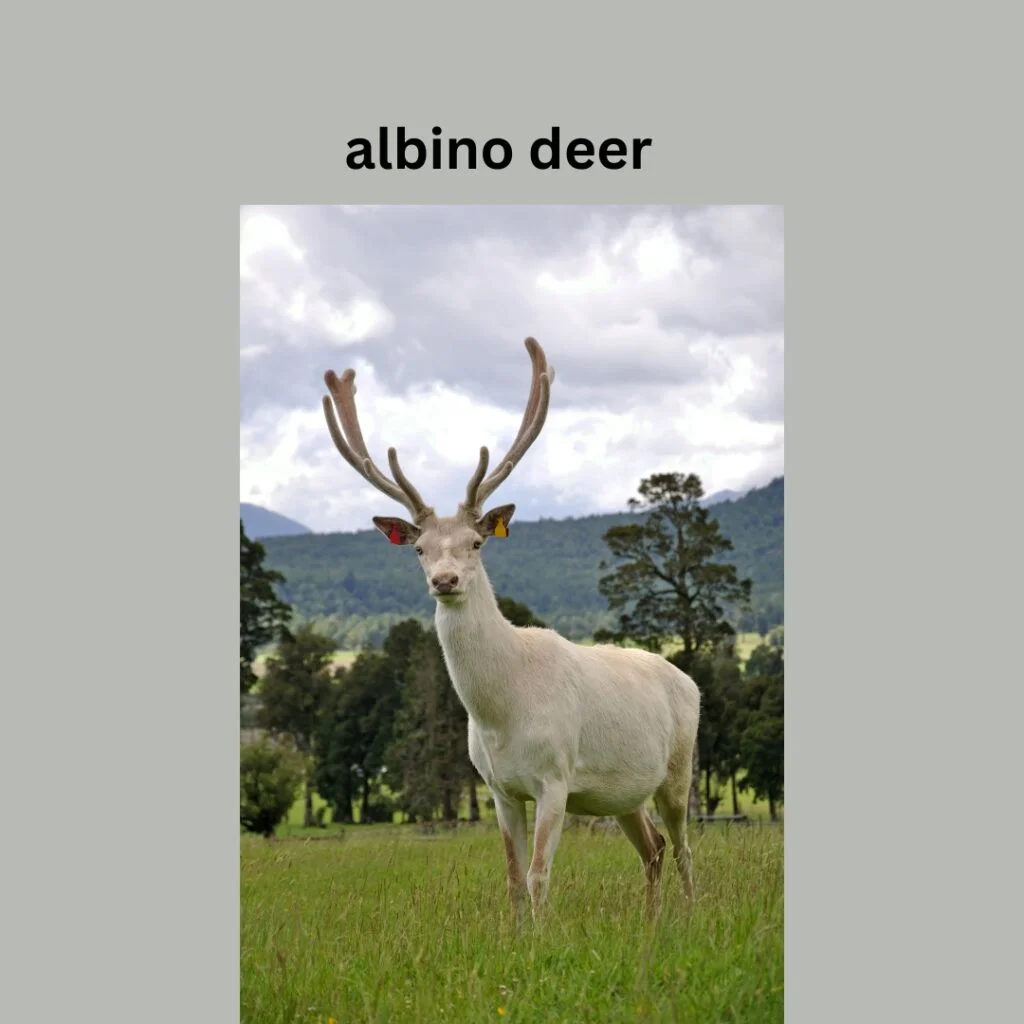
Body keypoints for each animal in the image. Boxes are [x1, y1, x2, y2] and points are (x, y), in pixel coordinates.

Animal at [321, 337, 701, 922]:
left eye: (477, 543)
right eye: (419, 549)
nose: (446, 579)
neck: (502, 714)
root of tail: (689, 680)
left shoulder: (556, 777)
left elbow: (539, 875)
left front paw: (543, 939)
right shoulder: (498, 788)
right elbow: (512, 879)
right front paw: (516, 935)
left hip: (680, 769)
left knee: (683, 848)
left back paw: (690, 914)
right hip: (621, 792)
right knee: (654, 848)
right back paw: (650, 921)